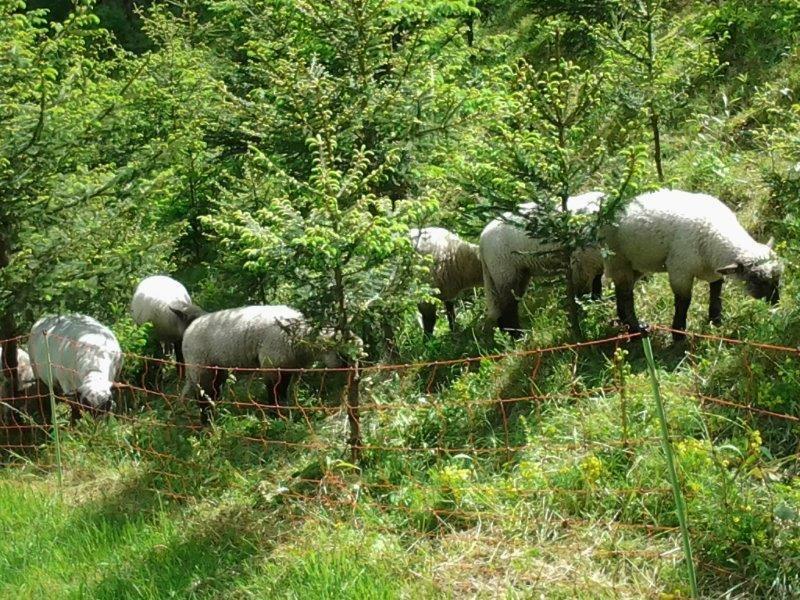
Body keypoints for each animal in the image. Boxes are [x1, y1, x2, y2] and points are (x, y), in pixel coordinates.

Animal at [179, 305, 347, 424]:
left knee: (214, 390)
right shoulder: (271, 362)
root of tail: (188, 330)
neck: (296, 335)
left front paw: (284, 409)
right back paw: (207, 421)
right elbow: (274, 391)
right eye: (333, 348)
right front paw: (275, 415)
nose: (344, 365)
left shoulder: (286, 365)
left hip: (217, 368)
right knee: (203, 394)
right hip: (200, 365)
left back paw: (217, 412)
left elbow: (282, 389)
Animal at [479, 191, 606, 336]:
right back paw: (518, 335)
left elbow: (596, 289)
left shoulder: (596, 263)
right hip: (504, 267)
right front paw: (587, 319)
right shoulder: (582, 263)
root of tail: (482, 238)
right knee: (507, 305)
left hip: (517, 271)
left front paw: (598, 311)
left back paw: (507, 334)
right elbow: (583, 295)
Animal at [601, 189, 782, 341]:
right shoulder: (680, 270)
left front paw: (716, 319)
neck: (713, 233)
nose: (776, 303)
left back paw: (627, 323)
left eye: (778, 278)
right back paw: (636, 330)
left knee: (621, 291)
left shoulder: (714, 269)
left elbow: (716, 291)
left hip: (636, 264)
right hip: (618, 259)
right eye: (757, 280)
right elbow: (684, 301)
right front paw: (678, 332)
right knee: (626, 295)